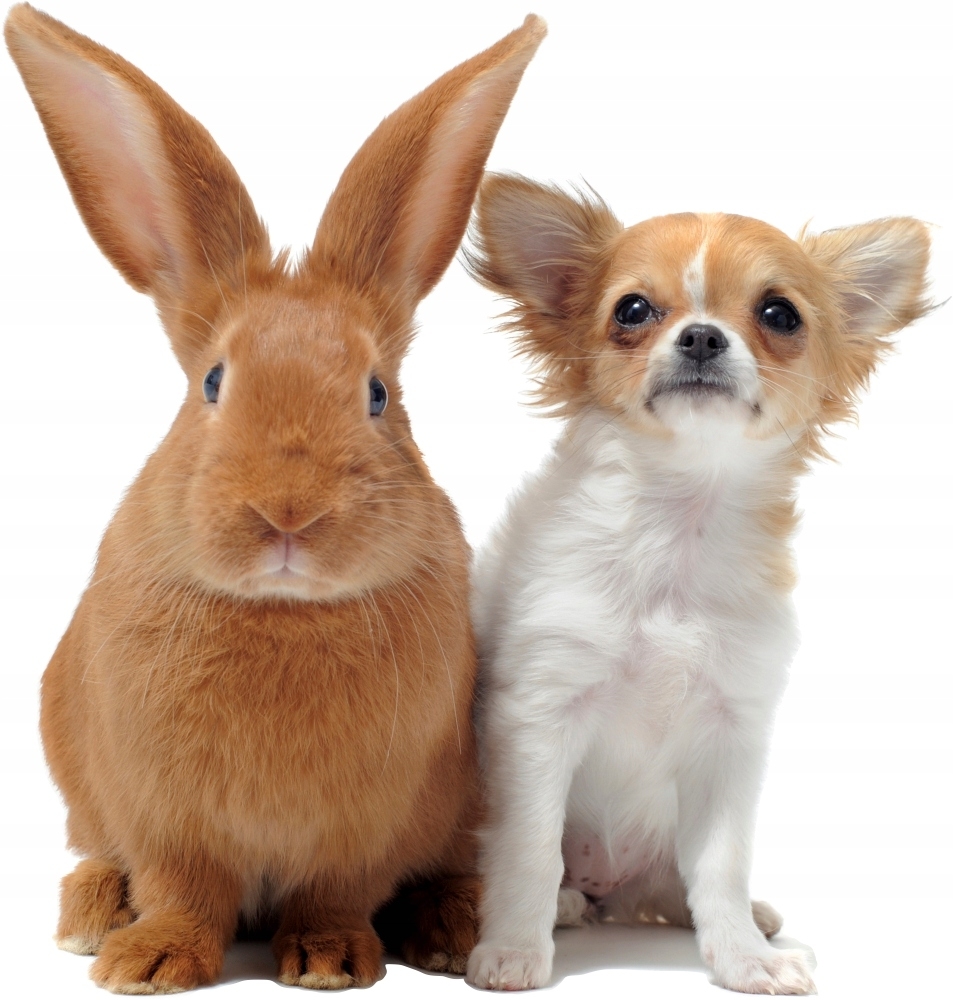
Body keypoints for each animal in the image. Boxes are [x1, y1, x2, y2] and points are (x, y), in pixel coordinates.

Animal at [5, 4, 545, 993]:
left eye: (377, 394)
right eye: (213, 383)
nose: (288, 513)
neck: (284, 611)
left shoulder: (364, 827)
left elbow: (335, 892)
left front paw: (330, 961)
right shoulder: (162, 816)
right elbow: (181, 889)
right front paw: (149, 962)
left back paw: (450, 927)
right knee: (95, 851)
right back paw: (89, 918)